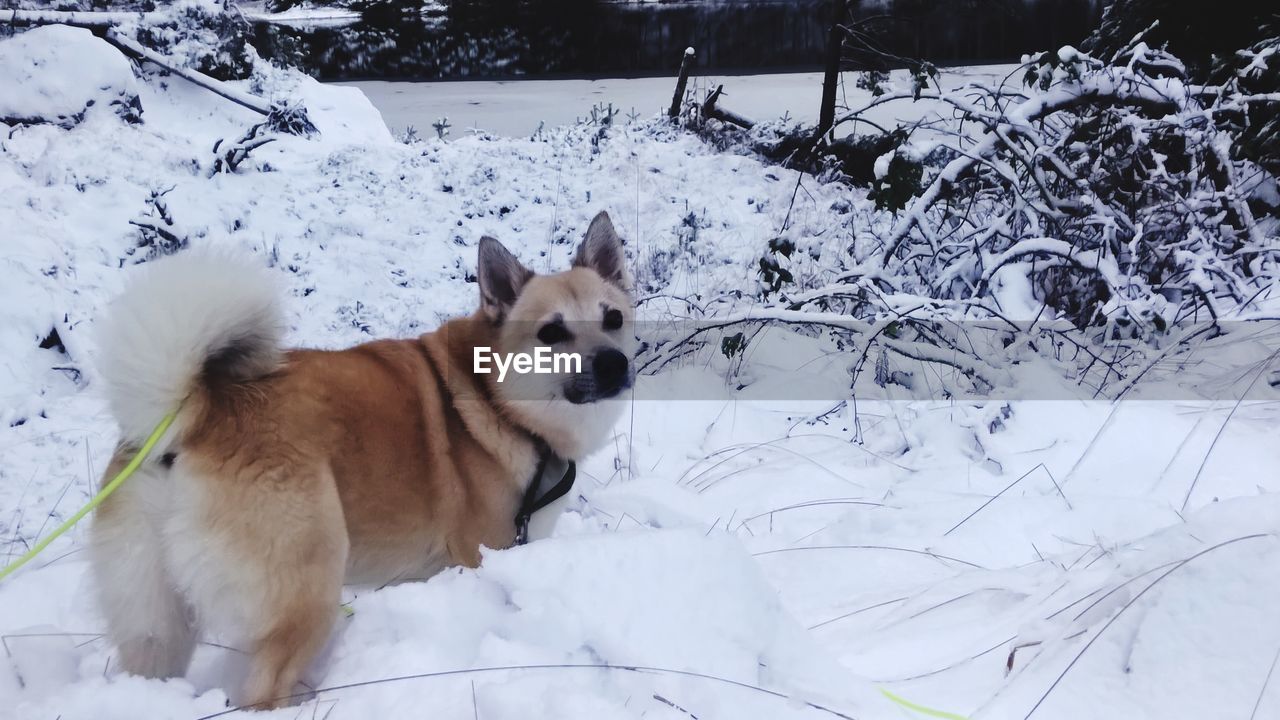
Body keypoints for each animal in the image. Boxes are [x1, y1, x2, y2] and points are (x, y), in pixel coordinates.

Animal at [87, 211, 637, 707]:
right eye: (550, 333)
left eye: (613, 318)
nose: (615, 364)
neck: (499, 401)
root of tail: (193, 412)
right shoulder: (482, 554)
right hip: (309, 584)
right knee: (262, 691)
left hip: (156, 622)